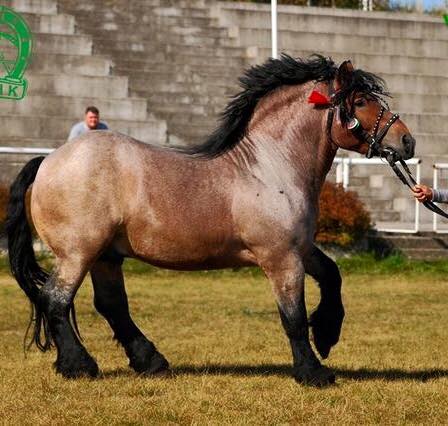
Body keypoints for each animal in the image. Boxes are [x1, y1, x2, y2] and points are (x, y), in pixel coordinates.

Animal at [5, 54, 414, 386]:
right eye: (360, 101)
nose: (407, 141)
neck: (268, 166)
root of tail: (48, 160)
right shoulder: (280, 258)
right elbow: (293, 316)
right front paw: (313, 373)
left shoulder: (299, 248)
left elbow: (332, 275)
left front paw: (327, 335)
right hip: (78, 253)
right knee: (56, 299)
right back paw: (79, 366)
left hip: (106, 256)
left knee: (111, 305)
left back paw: (150, 362)